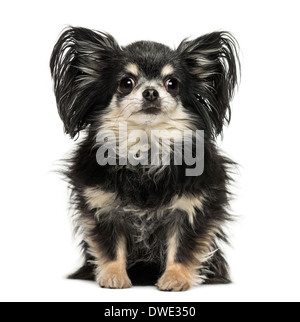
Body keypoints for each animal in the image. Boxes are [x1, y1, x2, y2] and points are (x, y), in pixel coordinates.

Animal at [50, 26, 240, 290]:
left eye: (172, 84)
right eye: (126, 83)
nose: (151, 92)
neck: (146, 146)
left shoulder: (193, 208)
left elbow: (183, 248)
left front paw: (176, 278)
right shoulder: (103, 207)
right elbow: (110, 247)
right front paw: (114, 276)